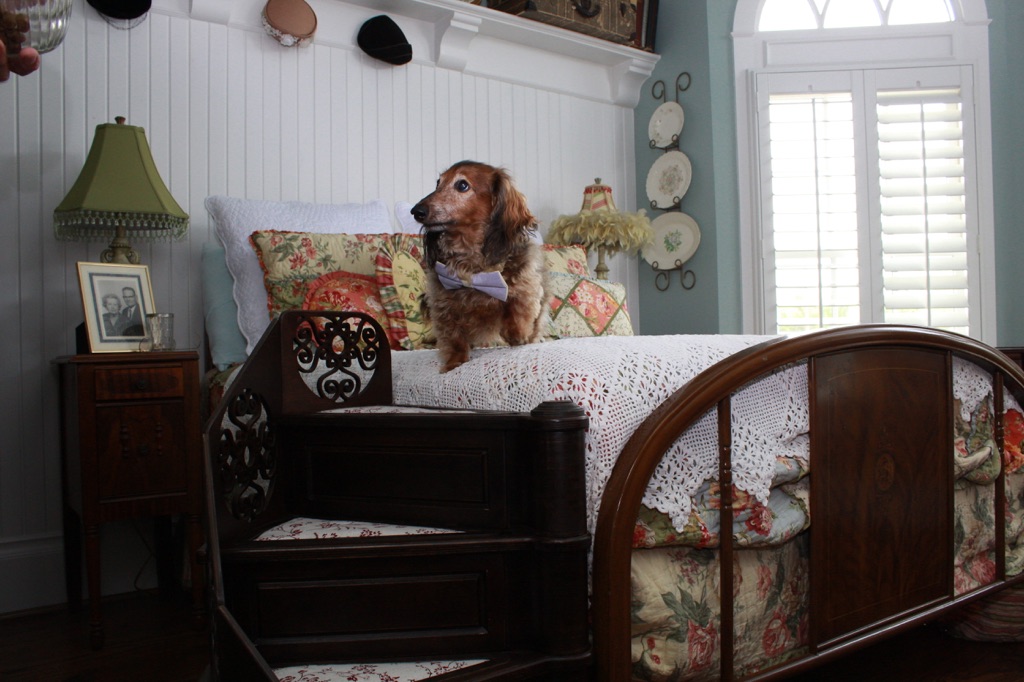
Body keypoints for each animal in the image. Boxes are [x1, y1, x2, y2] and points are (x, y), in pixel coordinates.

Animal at [411, 161, 546, 372]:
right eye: (438, 183)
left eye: (462, 185)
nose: (417, 211)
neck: (471, 265)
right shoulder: (443, 304)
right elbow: (454, 338)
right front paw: (454, 363)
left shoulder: (526, 287)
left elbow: (517, 309)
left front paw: (516, 334)